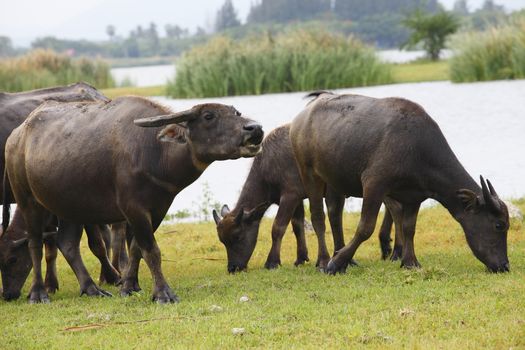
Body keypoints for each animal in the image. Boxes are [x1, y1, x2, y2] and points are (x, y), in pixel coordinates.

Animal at [3, 96, 262, 304]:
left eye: (236, 112)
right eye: (209, 116)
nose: (255, 128)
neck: (154, 151)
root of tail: (16, 137)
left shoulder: (158, 209)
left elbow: (137, 246)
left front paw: (128, 286)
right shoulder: (133, 208)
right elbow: (151, 250)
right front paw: (163, 293)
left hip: (69, 207)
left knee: (67, 243)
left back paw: (92, 289)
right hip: (28, 201)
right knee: (35, 243)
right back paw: (39, 293)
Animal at [290, 91, 508, 274]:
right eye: (499, 225)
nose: (504, 265)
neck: (417, 149)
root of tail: (302, 117)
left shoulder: (414, 196)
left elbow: (409, 227)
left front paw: (410, 262)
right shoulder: (374, 184)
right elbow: (365, 228)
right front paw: (335, 264)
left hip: (335, 179)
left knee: (335, 214)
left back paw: (345, 258)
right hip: (308, 172)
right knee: (318, 217)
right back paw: (324, 260)